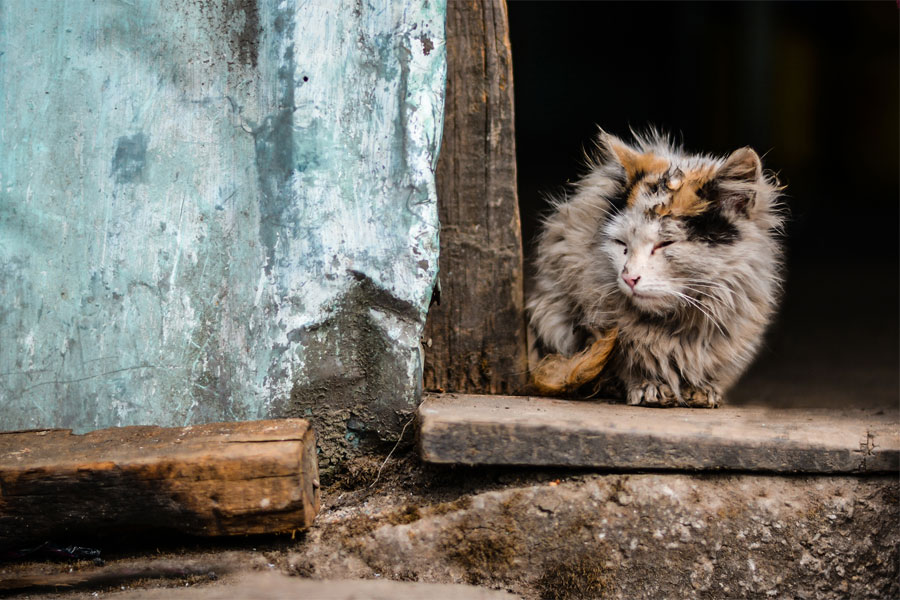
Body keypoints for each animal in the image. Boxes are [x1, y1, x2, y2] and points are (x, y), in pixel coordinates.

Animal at [524, 131, 784, 408]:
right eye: (622, 244)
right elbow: (624, 360)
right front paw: (649, 386)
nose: (629, 277)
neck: (675, 324)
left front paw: (701, 389)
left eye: (665, 244)